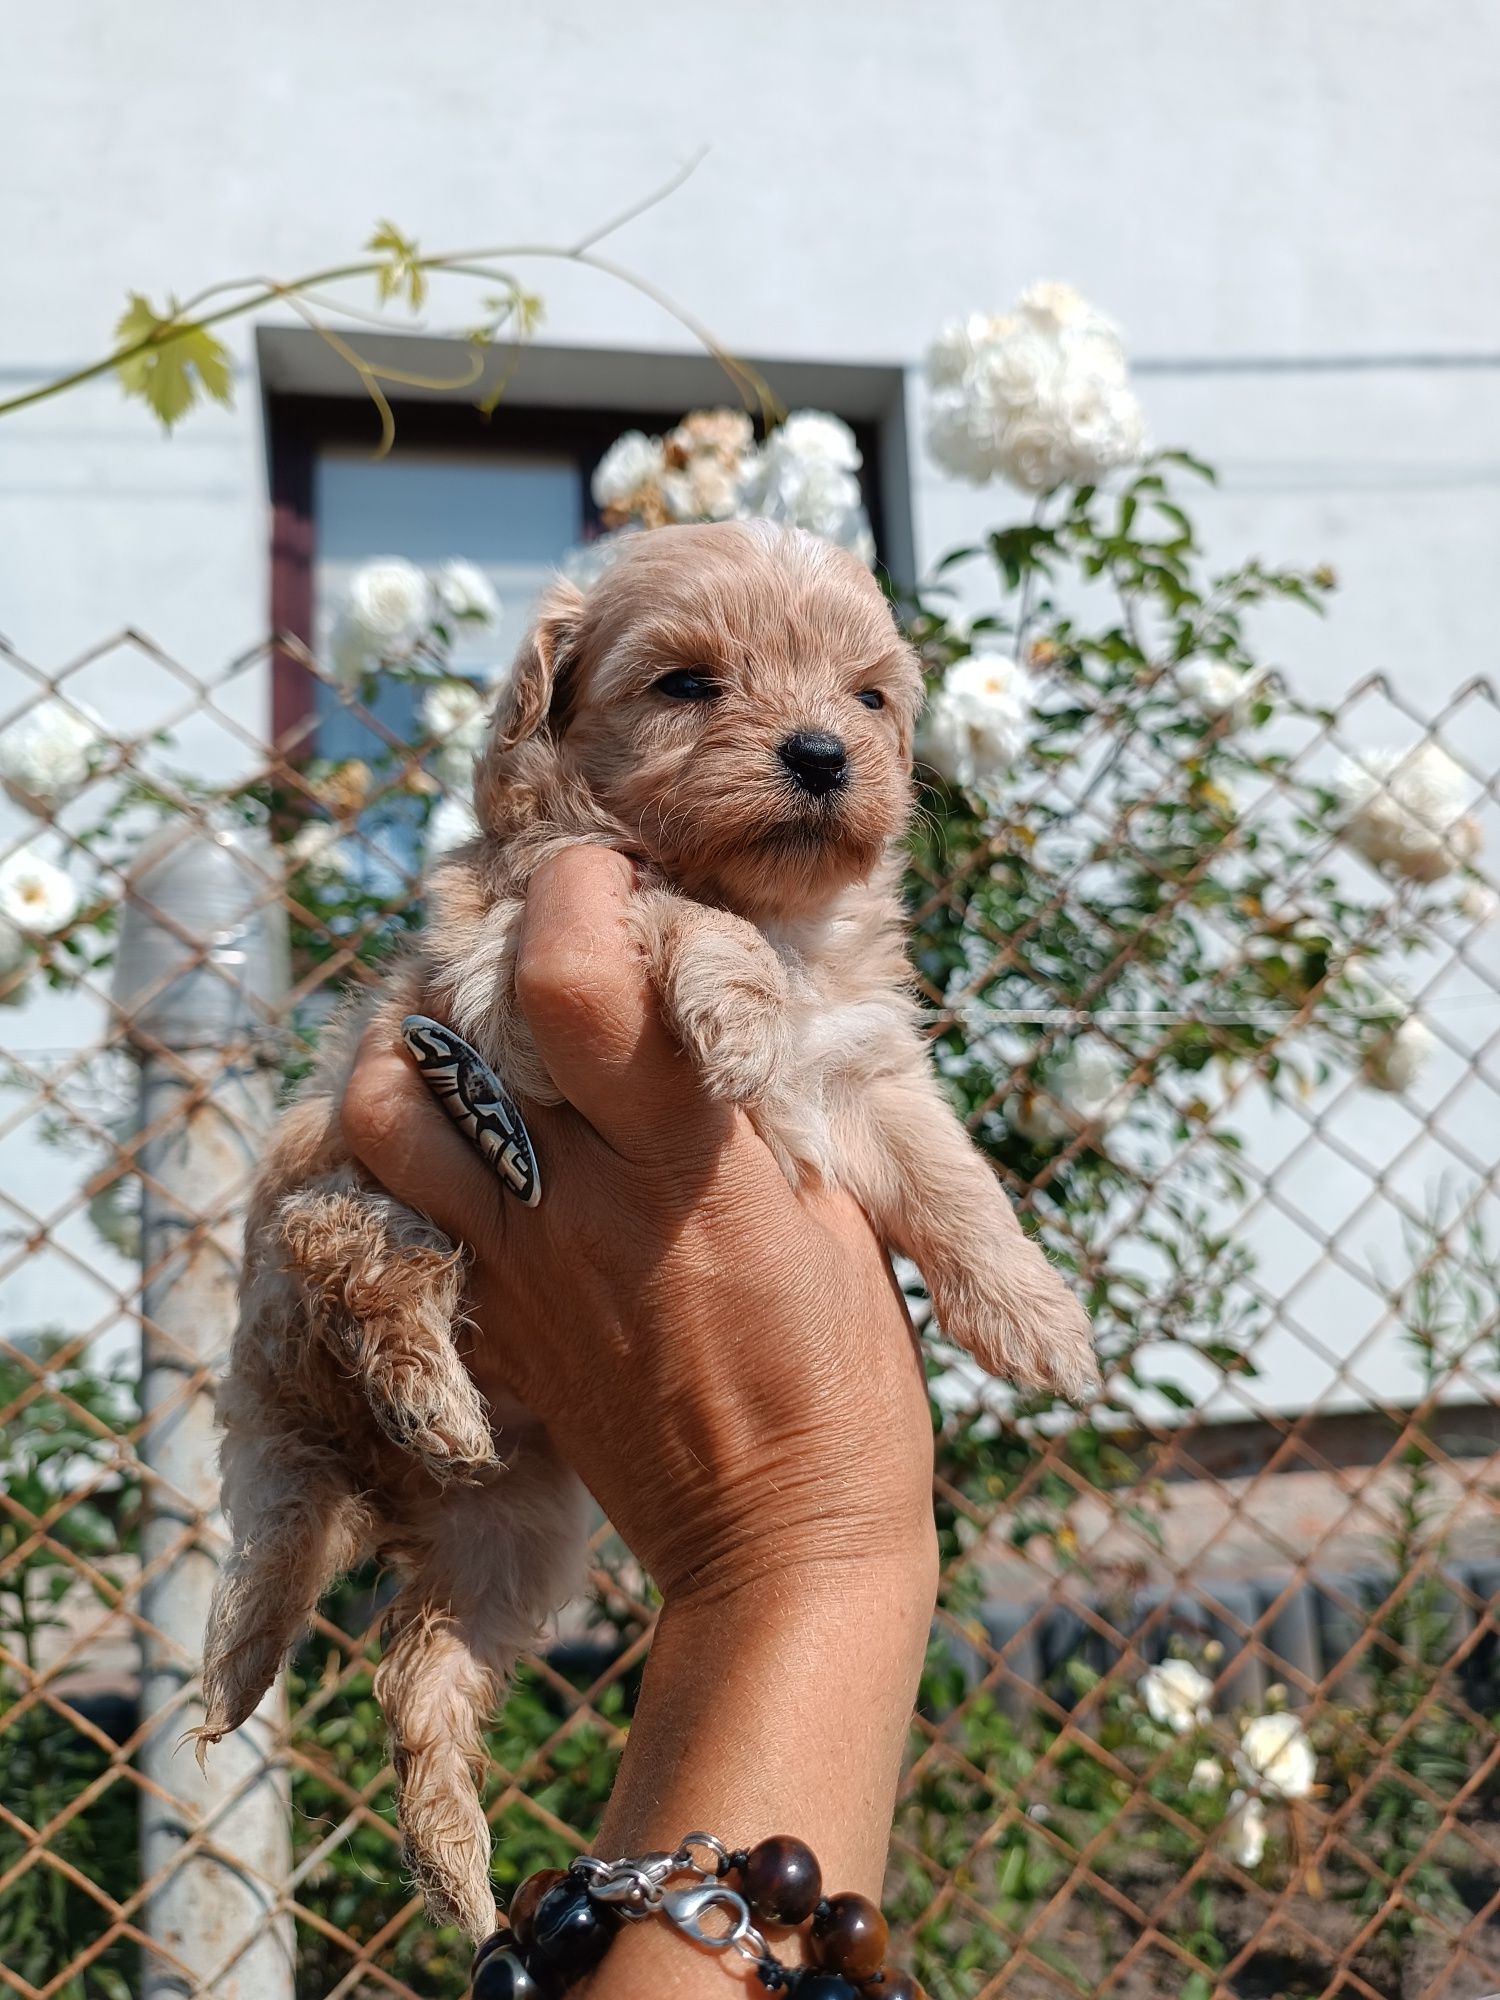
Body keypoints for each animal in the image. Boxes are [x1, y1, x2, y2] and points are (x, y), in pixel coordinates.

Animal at [200, 516, 1096, 1936]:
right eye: (688, 684)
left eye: (868, 698)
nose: (822, 753)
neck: (783, 915)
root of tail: (353, 1472)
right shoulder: (521, 952)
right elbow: (677, 907)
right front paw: (734, 1007)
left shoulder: (873, 1079)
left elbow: (956, 1179)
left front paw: (1038, 1320)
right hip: (332, 1219)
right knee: (364, 1265)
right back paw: (428, 1395)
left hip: (512, 1542)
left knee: (420, 1677)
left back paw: (461, 1871)